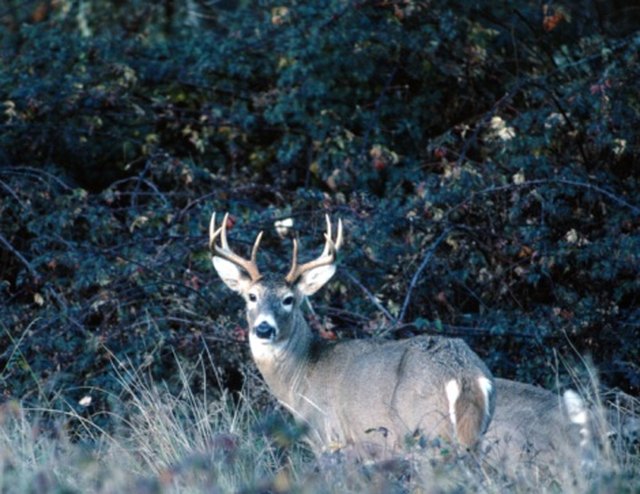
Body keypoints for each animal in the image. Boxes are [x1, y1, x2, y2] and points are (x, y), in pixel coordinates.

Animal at [210, 212, 496, 460]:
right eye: (251, 296)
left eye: (288, 299)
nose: (264, 328)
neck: (300, 375)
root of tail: (464, 373)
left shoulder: (328, 436)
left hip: (426, 429)